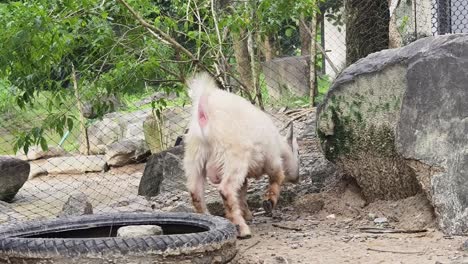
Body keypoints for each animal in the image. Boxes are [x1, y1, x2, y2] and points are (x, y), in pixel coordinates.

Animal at [183, 71, 300, 237]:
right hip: (234, 155)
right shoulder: (272, 161)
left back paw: (209, 218)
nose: (297, 178)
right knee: (226, 190)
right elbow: (277, 179)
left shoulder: (245, 176)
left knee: (195, 192)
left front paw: (248, 214)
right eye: (298, 151)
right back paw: (242, 229)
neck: (280, 146)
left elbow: (242, 192)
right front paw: (268, 202)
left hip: (195, 155)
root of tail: (204, 110)